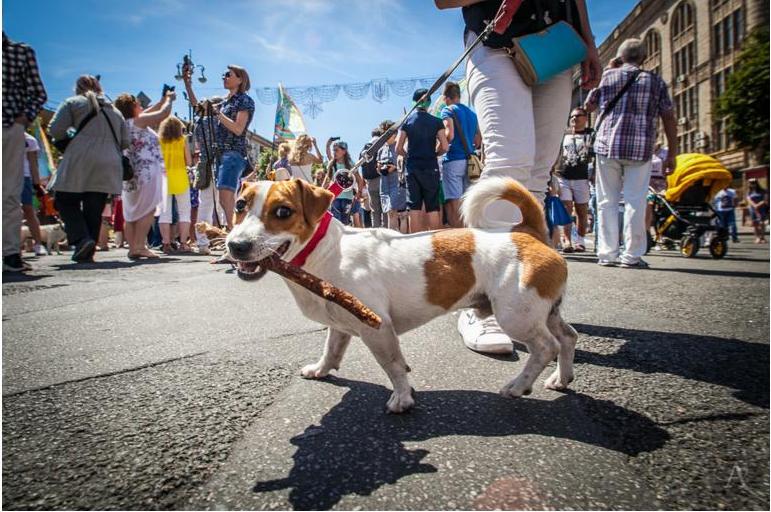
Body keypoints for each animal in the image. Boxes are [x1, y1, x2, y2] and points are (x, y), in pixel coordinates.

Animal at [226, 178, 576, 414]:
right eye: (239, 206)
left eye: (283, 211)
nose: (235, 246)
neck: (324, 251)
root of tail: (527, 232)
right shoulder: (340, 323)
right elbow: (331, 350)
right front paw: (321, 370)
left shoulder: (377, 328)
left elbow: (393, 365)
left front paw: (402, 398)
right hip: (544, 312)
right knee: (568, 338)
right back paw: (562, 378)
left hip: (516, 315)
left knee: (546, 347)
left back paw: (518, 386)